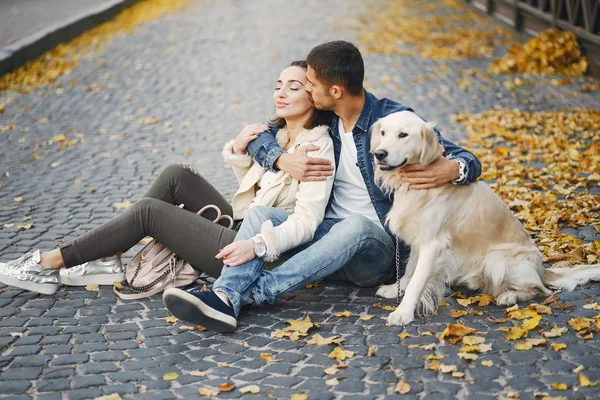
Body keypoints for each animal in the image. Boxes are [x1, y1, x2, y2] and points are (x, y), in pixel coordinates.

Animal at [372, 109, 600, 324]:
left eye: (403, 135)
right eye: (383, 133)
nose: (379, 153)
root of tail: (542, 269)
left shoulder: (432, 243)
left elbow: (417, 280)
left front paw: (403, 313)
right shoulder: (418, 238)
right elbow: (410, 270)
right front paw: (395, 289)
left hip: (497, 259)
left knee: (541, 290)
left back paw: (509, 296)